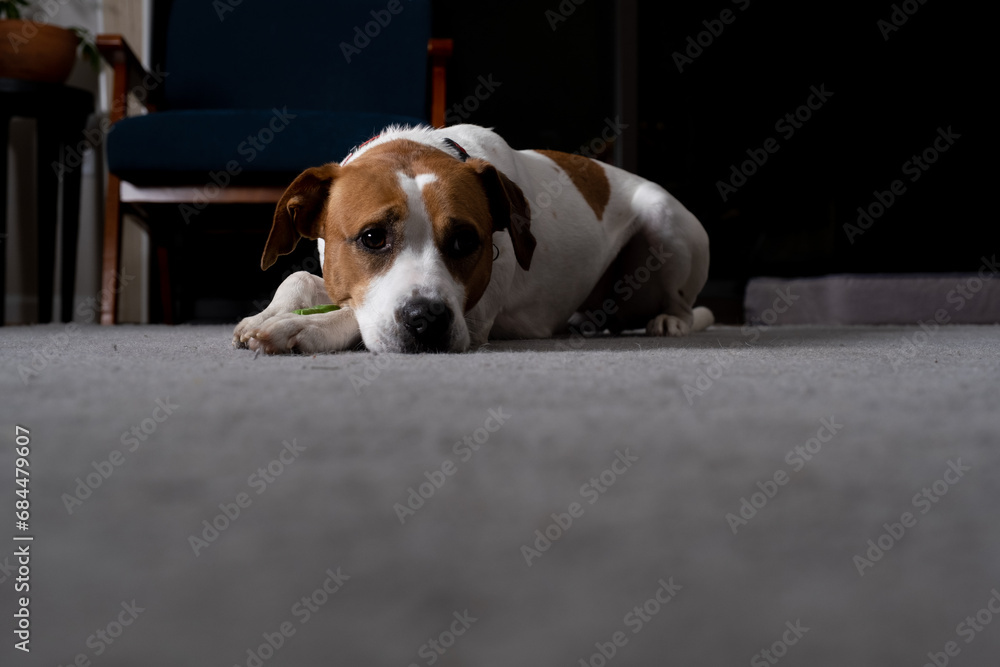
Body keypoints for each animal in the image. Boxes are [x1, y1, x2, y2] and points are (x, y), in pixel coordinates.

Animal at [232, 124, 712, 354]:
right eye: (372, 238)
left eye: (466, 242)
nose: (427, 320)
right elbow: (299, 280)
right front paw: (267, 314)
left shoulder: (476, 316)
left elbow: (353, 315)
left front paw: (301, 327)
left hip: (665, 220)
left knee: (685, 305)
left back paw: (670, 321)